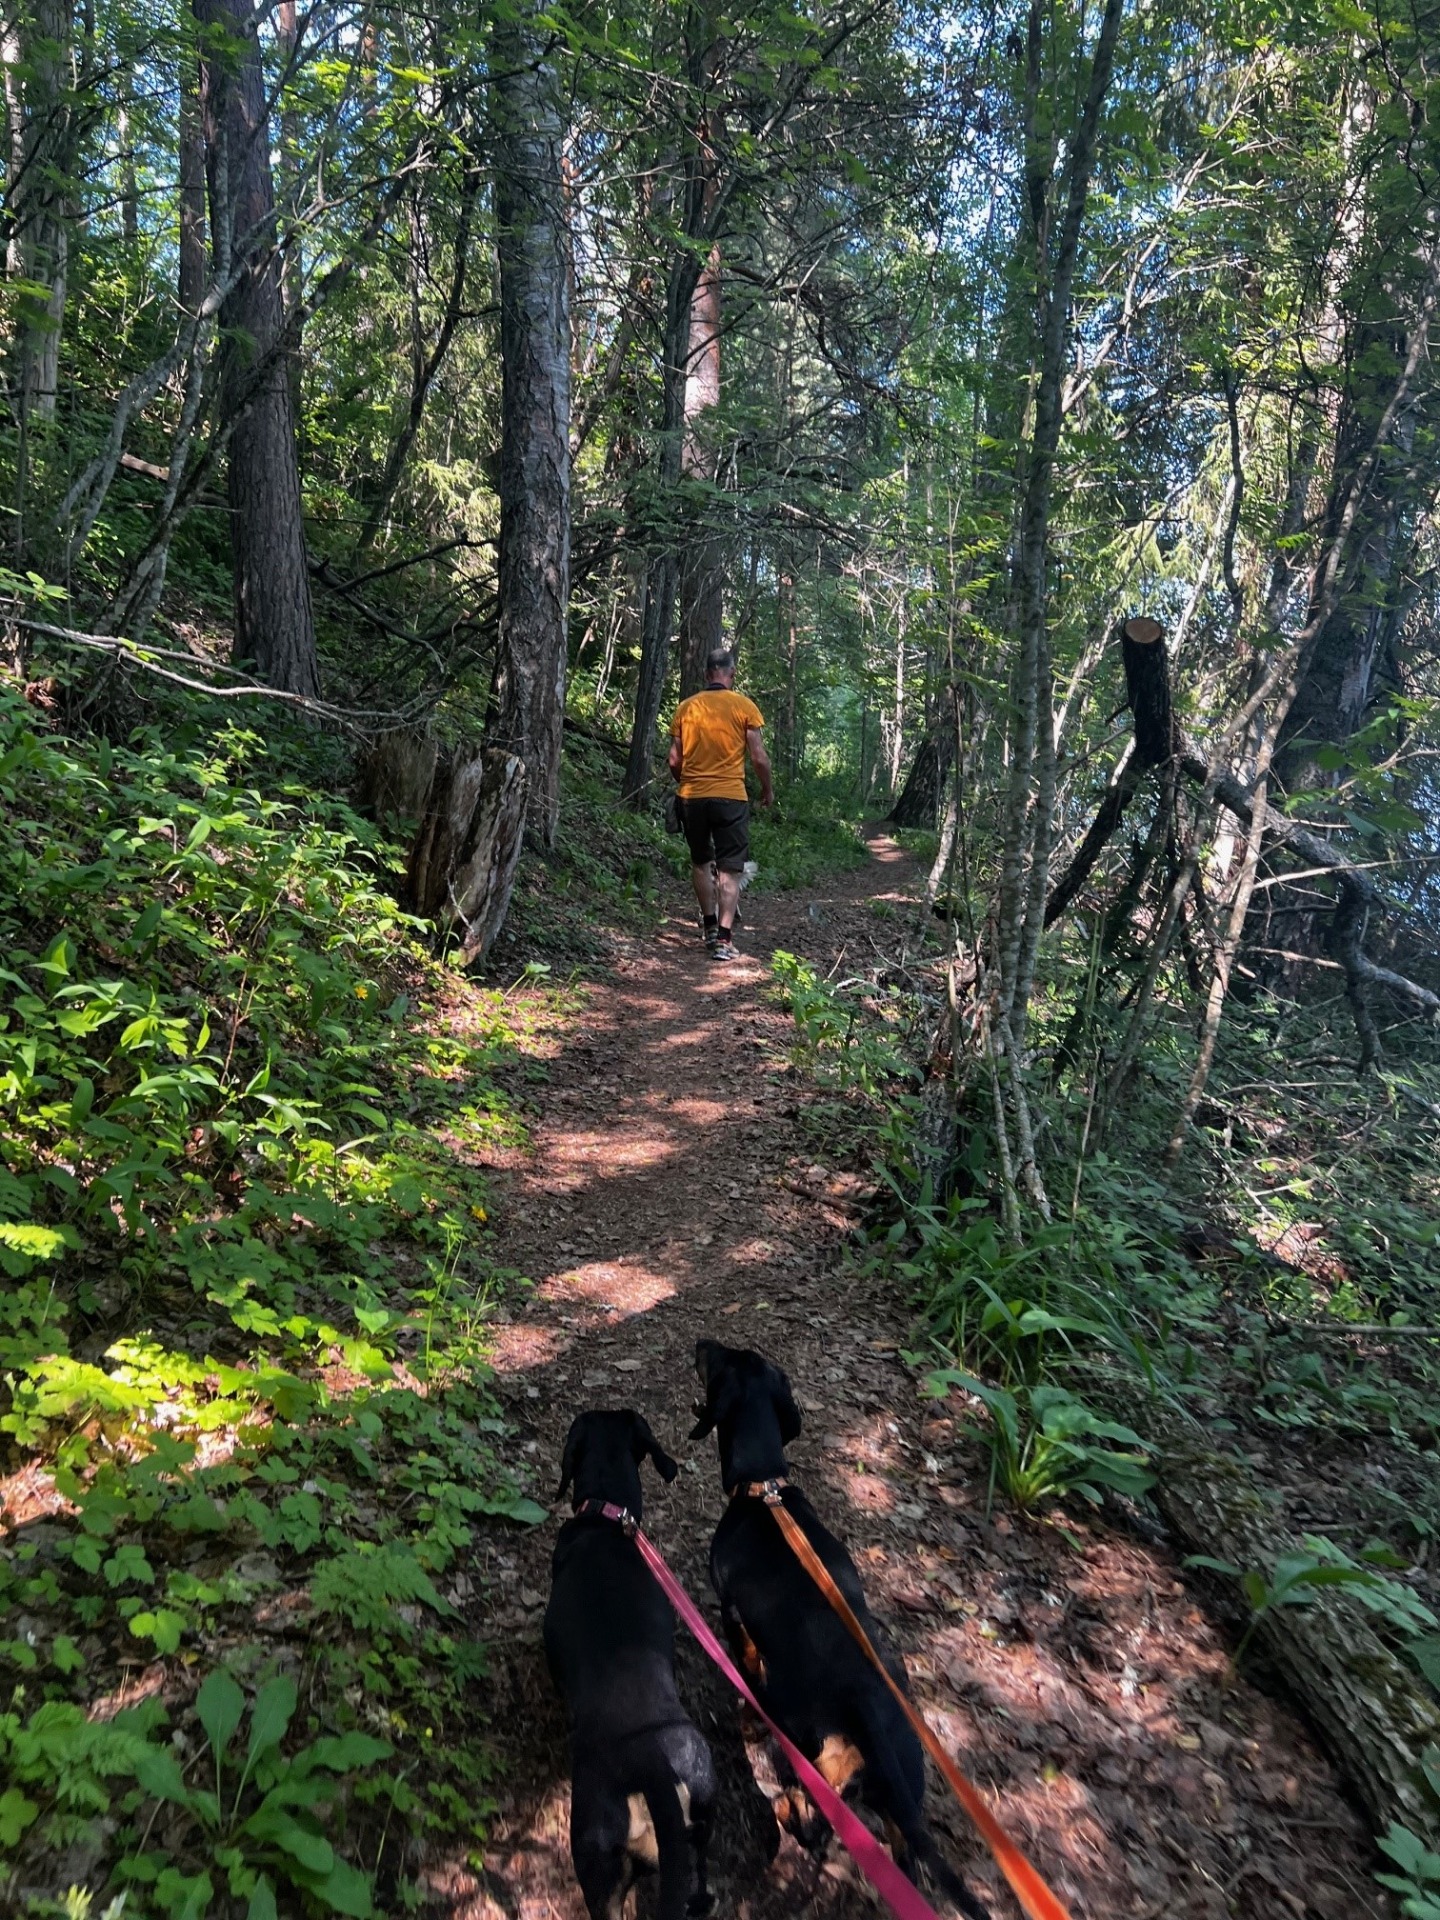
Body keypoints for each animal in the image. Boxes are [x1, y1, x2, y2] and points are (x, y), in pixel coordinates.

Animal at [690, 1340, 990, 1920]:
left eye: (721, 1360)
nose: (701, 1343)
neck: (765, 1490)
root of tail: (868, 1706)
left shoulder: (734, 1616)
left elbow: (747, 1670)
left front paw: (746, 1720)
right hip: (902, 1801)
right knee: (903, 1860)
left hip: (811, 1767)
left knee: (807, 1822)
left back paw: (783, 1811)